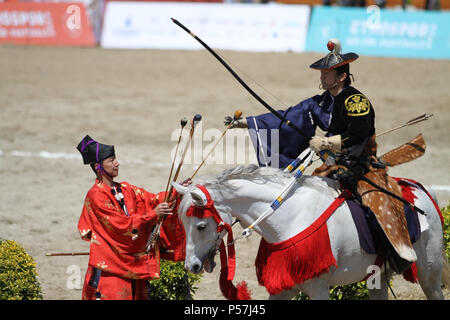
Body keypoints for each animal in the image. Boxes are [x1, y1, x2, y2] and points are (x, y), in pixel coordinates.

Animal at [171, 165, 448, 300]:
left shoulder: (319, 288)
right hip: (377, 279)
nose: (191, 266)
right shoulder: (283, 288)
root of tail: (420, 189)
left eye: (201, 225)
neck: (291, 217)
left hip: (429, 274)